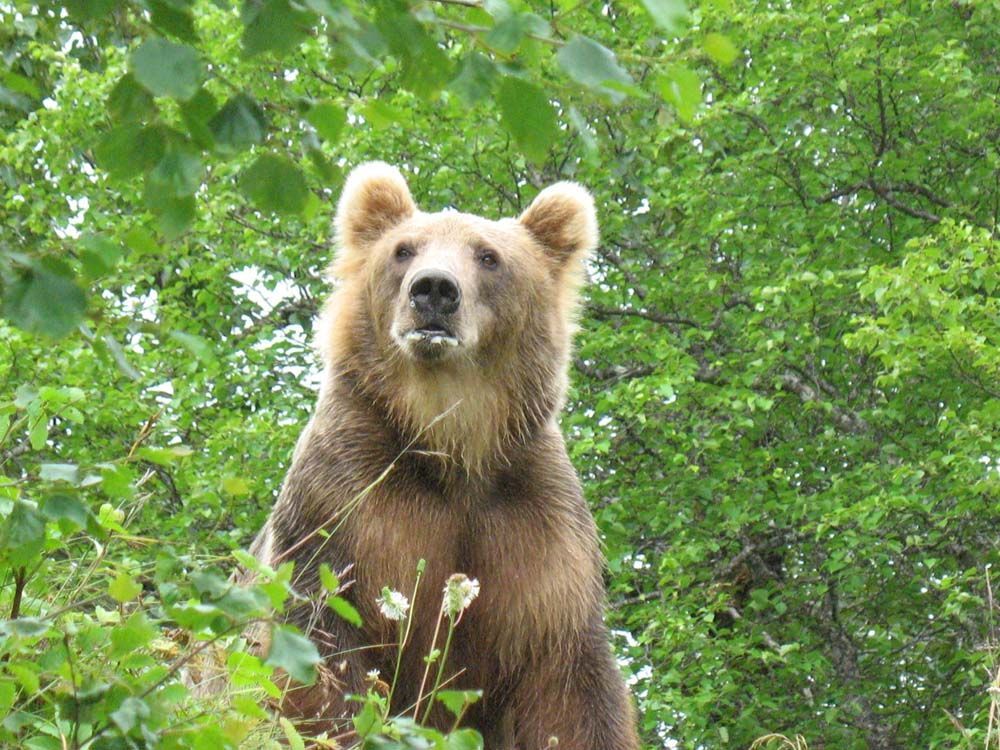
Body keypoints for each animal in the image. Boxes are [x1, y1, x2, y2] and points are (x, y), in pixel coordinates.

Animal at [248, 162, 640, 749]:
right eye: (403, 249)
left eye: (488, 255)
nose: (433, 289)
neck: (453, 443)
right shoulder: (348, 499)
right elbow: (317, 652)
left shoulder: (535, 529)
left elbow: (569, 685)